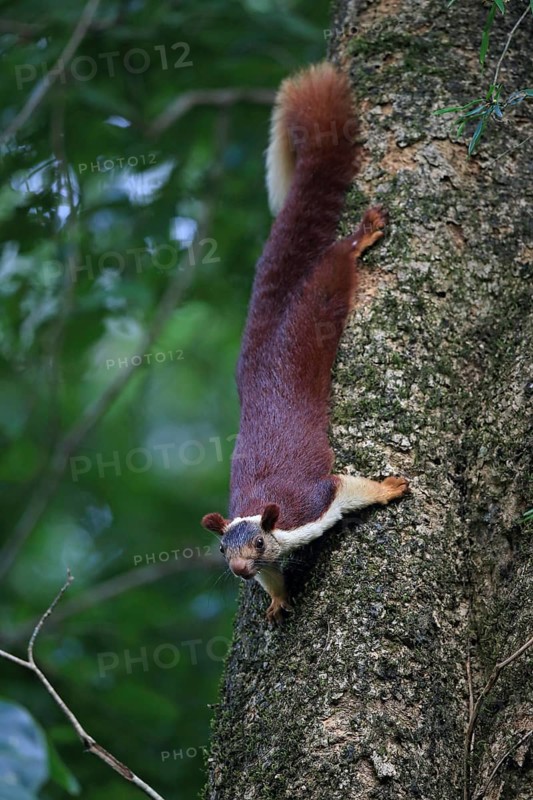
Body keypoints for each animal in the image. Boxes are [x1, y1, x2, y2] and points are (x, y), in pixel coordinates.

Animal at [201, 62, 409, 623]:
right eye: (222, 549)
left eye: (257, 543)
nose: (238, 571)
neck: (267, 513)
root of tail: (266, 349)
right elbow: (274, 580)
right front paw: (276, 600)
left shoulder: (312, 502)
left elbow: (350, 487)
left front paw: (388, 488)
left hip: (316, 304)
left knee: (332, 267)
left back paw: (361, 236)